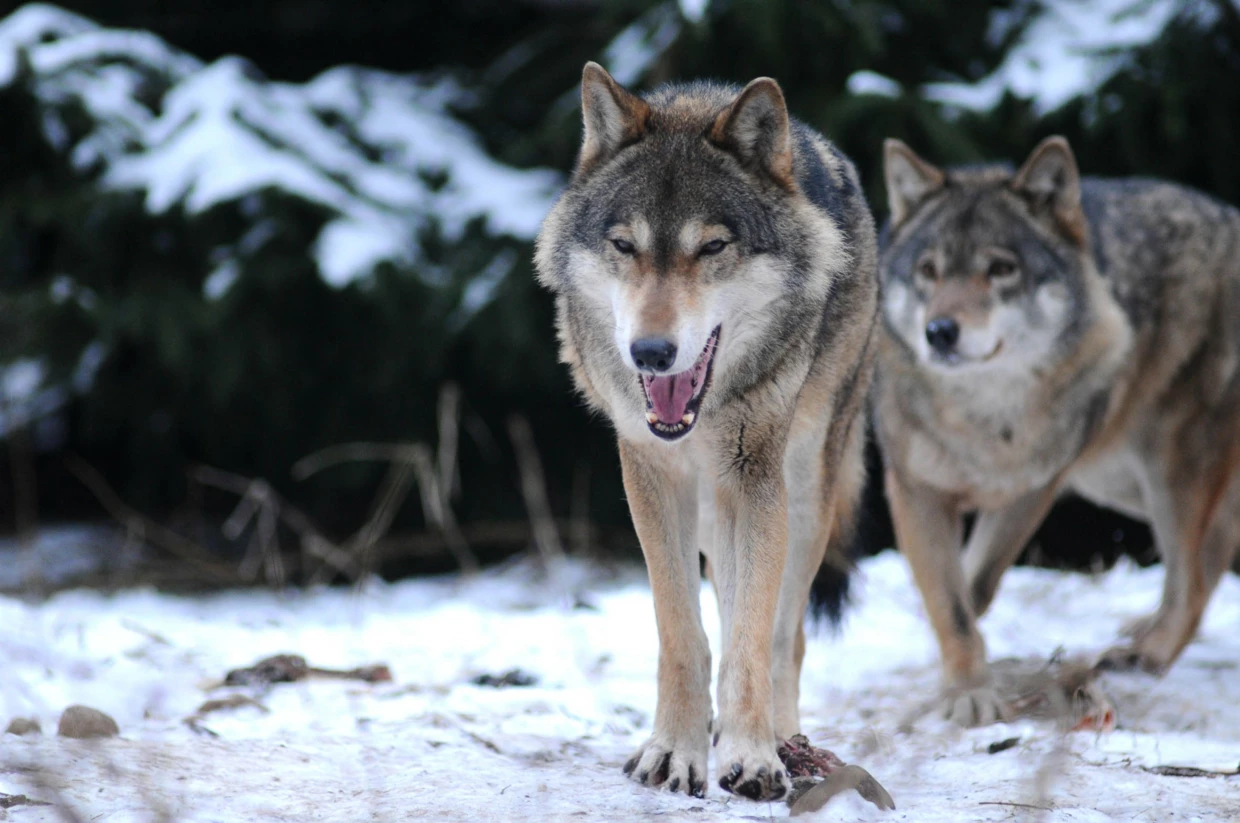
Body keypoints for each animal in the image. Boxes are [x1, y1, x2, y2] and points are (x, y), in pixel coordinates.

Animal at [535, 64, 882, 798]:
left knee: (785, 633)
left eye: (713, 246)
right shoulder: (652, 478)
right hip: (709, 508)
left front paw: (753, 754)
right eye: (625, 245)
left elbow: (753, 636)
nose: (651, 353)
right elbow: (683, 634)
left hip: (804, 491)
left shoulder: (755, 478)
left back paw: (786, 739)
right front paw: (675, 751)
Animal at [877, 136, 1240, 728]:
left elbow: (975, 585)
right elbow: (953, 601)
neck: (985, 419)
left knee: (1192, 581)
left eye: (1000, 269)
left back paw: (1145, 656)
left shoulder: (1032, 490)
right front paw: (963, 683)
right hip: (1121, 483)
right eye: (929, 271)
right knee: (1207, 560)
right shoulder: (915, 491)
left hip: (1172, 472)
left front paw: (966, 685)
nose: (940, 332)